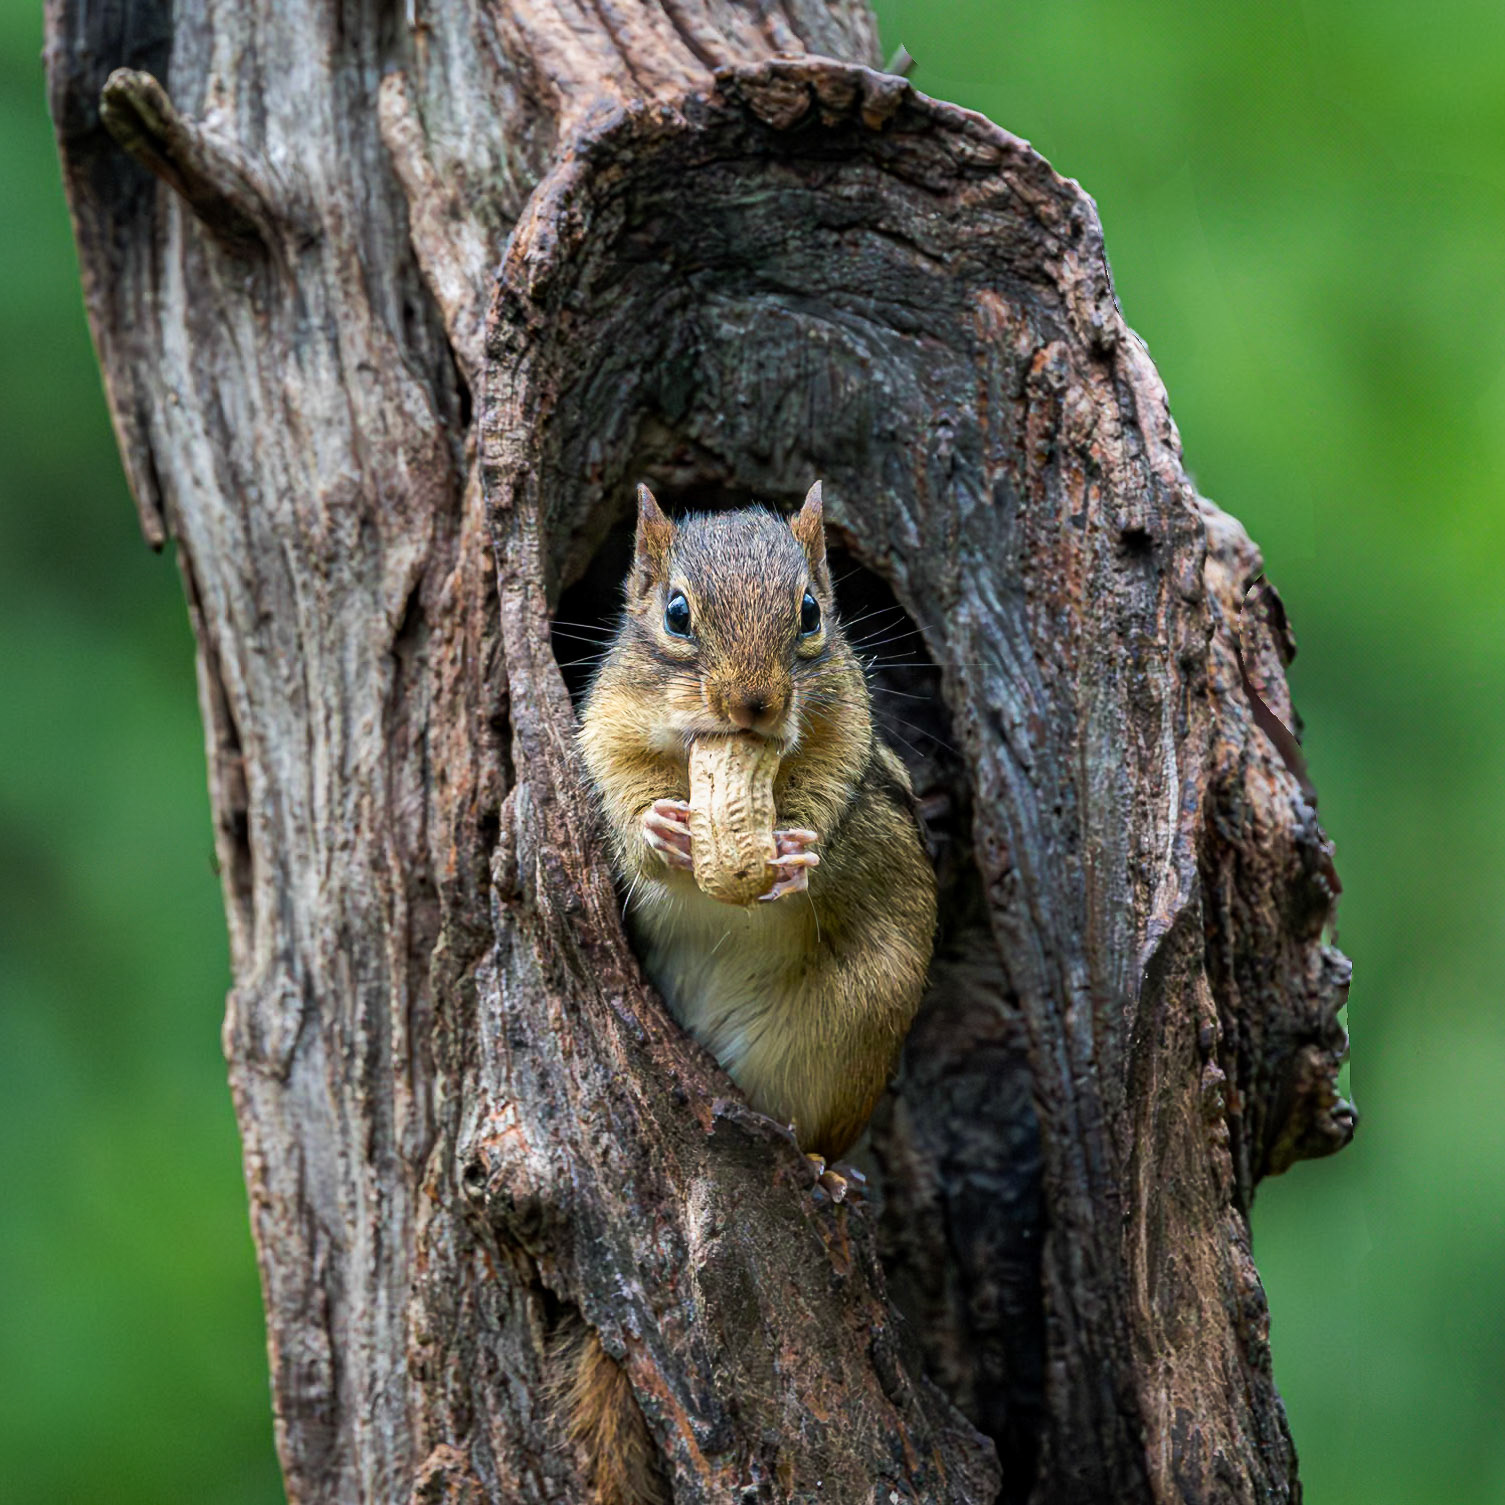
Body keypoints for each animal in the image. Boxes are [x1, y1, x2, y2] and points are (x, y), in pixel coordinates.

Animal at [559, 481, 937, 1505]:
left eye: (810, 611)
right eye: (675, 614)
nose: (754, 704)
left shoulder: (850, 755)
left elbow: (834, 809)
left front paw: (796, 853)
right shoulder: (602, 741)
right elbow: (625, 817)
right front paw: (661, 828)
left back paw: (820, 1170)